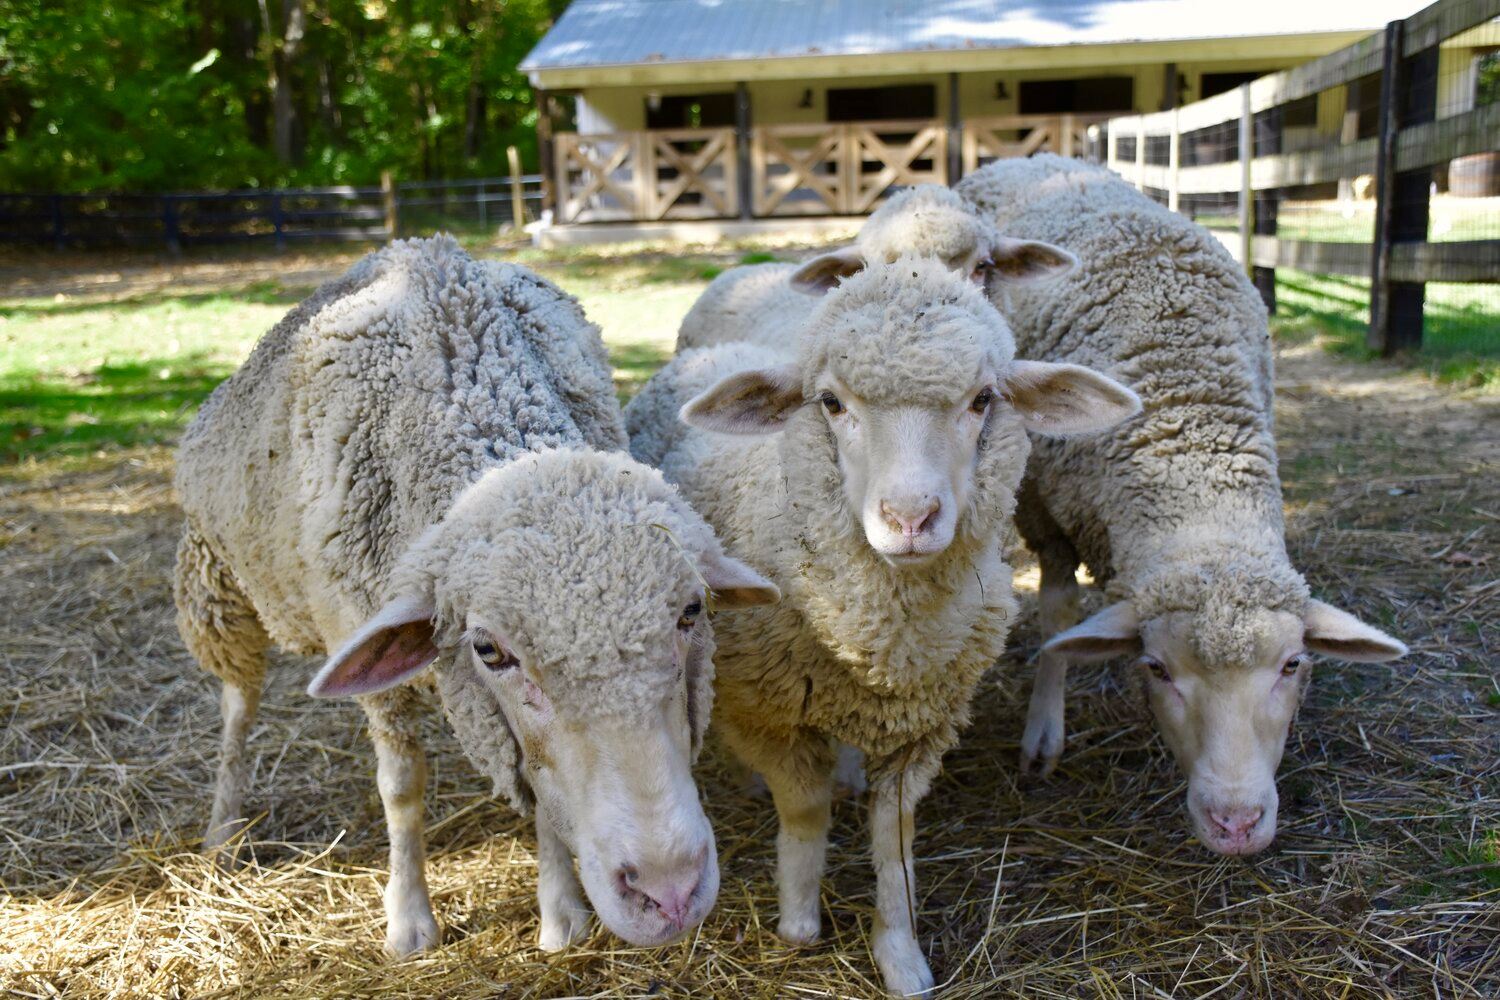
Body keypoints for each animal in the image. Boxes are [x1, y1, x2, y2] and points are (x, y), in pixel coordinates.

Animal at [172, 236, 779, 956]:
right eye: (489, 650)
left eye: (690, 612)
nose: (670, 891)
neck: (469, 371)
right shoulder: (371, 661)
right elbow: (401, 788)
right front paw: (410, 919)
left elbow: (541, 789)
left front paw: (560, 913)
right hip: (216, 584)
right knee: (237, 704)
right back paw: (222, 830)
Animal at [626, 256, 1140, 996]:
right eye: (832, 403)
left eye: (983, 399)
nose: (910, 517)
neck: (886, 643)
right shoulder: (771, 715)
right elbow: (804, 811)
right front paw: (799, 921)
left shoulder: (921, 728)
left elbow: (894, 838)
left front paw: (900, 955)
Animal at [955, 154, 1407, 856]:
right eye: (1158, 668)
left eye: (1293, 665)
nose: (1236, 823)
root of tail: (1032, 158)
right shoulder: (1044, 511)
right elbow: (1057, 617)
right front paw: (1043, 734)